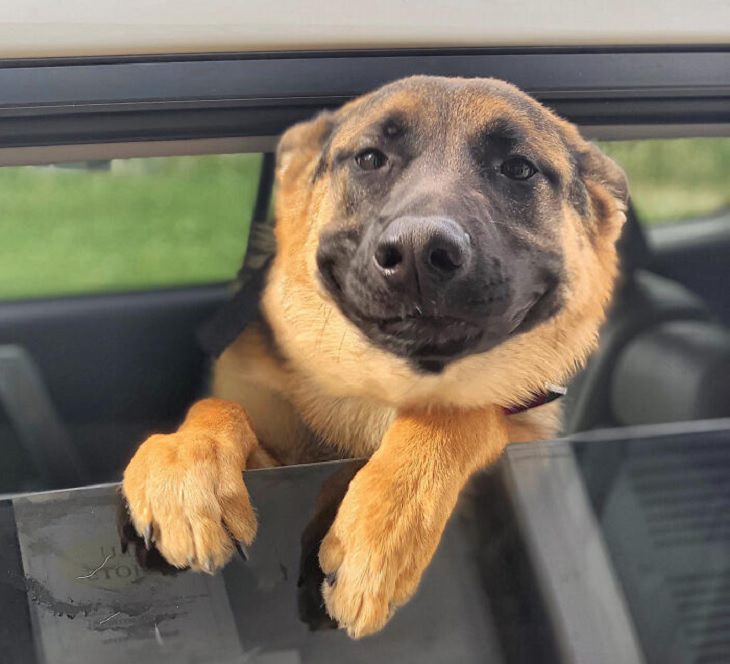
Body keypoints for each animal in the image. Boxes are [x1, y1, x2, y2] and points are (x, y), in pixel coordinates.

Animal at [122, 76, 628, 640]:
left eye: (518, 168)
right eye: (369, 158)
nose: (418, 253)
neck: (380, 388)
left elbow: (457, 416)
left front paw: (382, 528)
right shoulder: (275, 454)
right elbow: (218, 408)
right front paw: (185, 464)